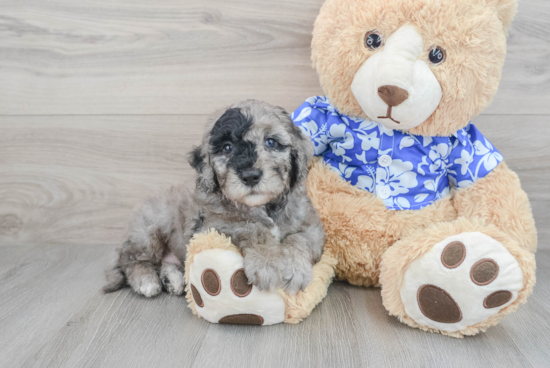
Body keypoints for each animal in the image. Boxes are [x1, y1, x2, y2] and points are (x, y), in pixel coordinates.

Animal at [104, 100, 324, 300]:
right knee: (129, 259)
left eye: (271, 142)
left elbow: (299, 238)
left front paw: (295, 269)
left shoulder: (312, 227)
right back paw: (146, 280)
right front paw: (268, 263)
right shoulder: (213, 226)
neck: (261, 207)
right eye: (227, 148)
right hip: (149, 231)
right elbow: (252, 228)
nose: (250, 176)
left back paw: (173, 279)